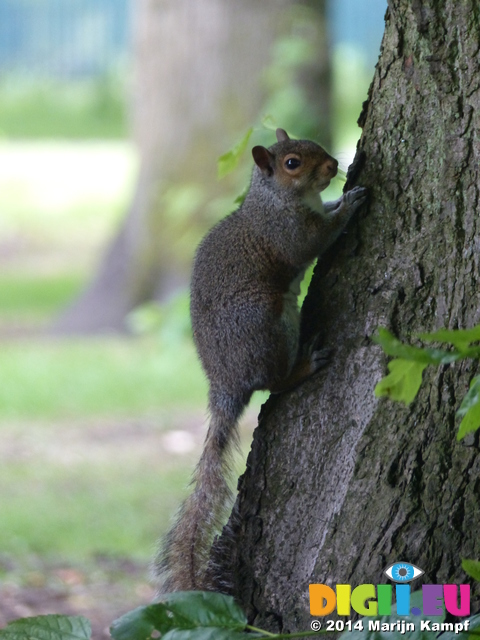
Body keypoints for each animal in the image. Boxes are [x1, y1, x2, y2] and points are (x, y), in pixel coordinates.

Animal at [154, 127, 368, 592]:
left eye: (311, 145)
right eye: (292, 163)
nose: (333, 165)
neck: (276, 199)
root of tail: (226, 384)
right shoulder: (288, 233)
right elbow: (316, 239)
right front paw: (349, 204)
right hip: (268, 323)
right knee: (276, 382)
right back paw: (304, 366)